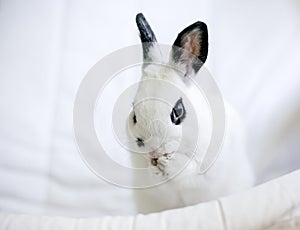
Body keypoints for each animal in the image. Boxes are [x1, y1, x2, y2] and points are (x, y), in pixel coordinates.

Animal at [126, 13, 255, 214]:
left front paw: (169, 164)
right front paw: (155, 168)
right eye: (134, 115)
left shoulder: (204, 171)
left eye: (178, 112)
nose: (153, 151)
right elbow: (153, 179)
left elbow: (188, 171)